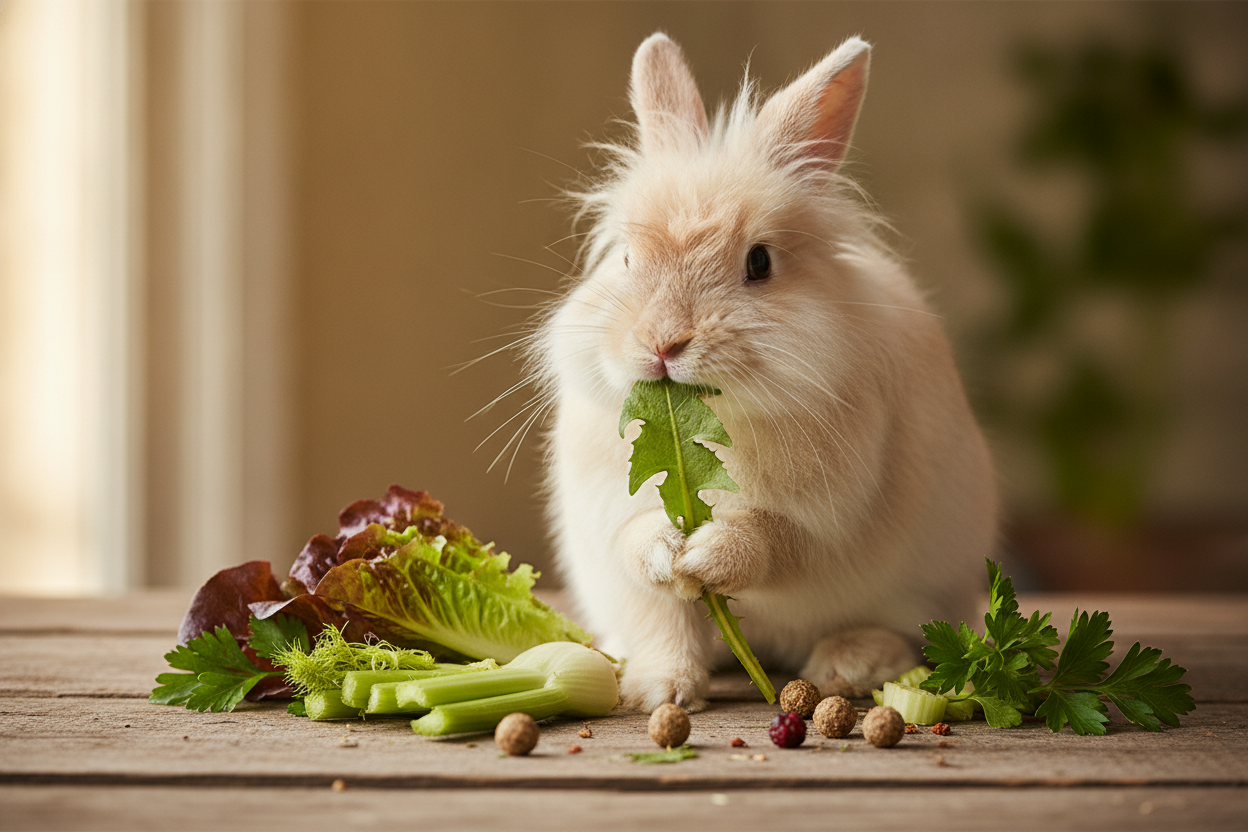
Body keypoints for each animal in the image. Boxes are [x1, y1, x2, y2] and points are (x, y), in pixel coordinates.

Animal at [530, 32, 997, 712]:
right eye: (627, 257)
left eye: (759, 262)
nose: (662, 343)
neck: (718, 416)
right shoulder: (608, 515)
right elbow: (645, 571)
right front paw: (666, 586)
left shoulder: (829, 518)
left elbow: (778, 542)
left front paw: (709, 552)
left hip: (931, 580)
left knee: (902, 631)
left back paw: (850, 663)